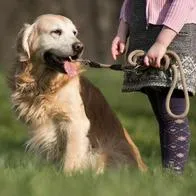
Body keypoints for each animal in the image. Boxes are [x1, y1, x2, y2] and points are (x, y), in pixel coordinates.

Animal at [8, 14, 147, 173]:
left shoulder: (76, 122)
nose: (79, 46)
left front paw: (67, 176)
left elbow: (71, 157)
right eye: (56, 31)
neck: (44, 84)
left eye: (74, 33)